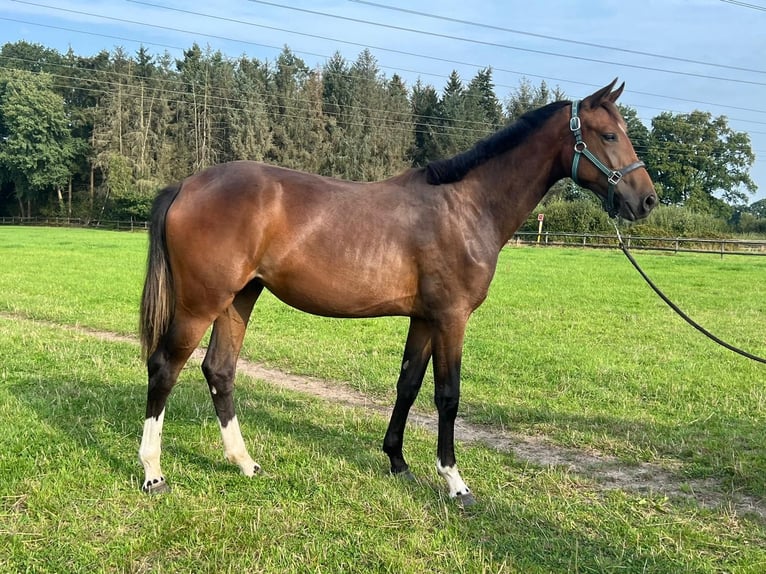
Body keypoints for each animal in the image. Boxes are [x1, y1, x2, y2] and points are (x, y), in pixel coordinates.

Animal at [140, 80, 660, 504]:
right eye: (608, 135)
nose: (646, 200)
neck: (466, 205)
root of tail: (186, 185)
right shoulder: (452, 317)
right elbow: (448, 396)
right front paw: (455, 482)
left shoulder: (425, 318)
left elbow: (408, 384)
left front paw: (398, 463)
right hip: (201, 303)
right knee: (165, 367)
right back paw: (153, 473)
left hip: (240, 298)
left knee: (219, 371)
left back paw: (245, 463)